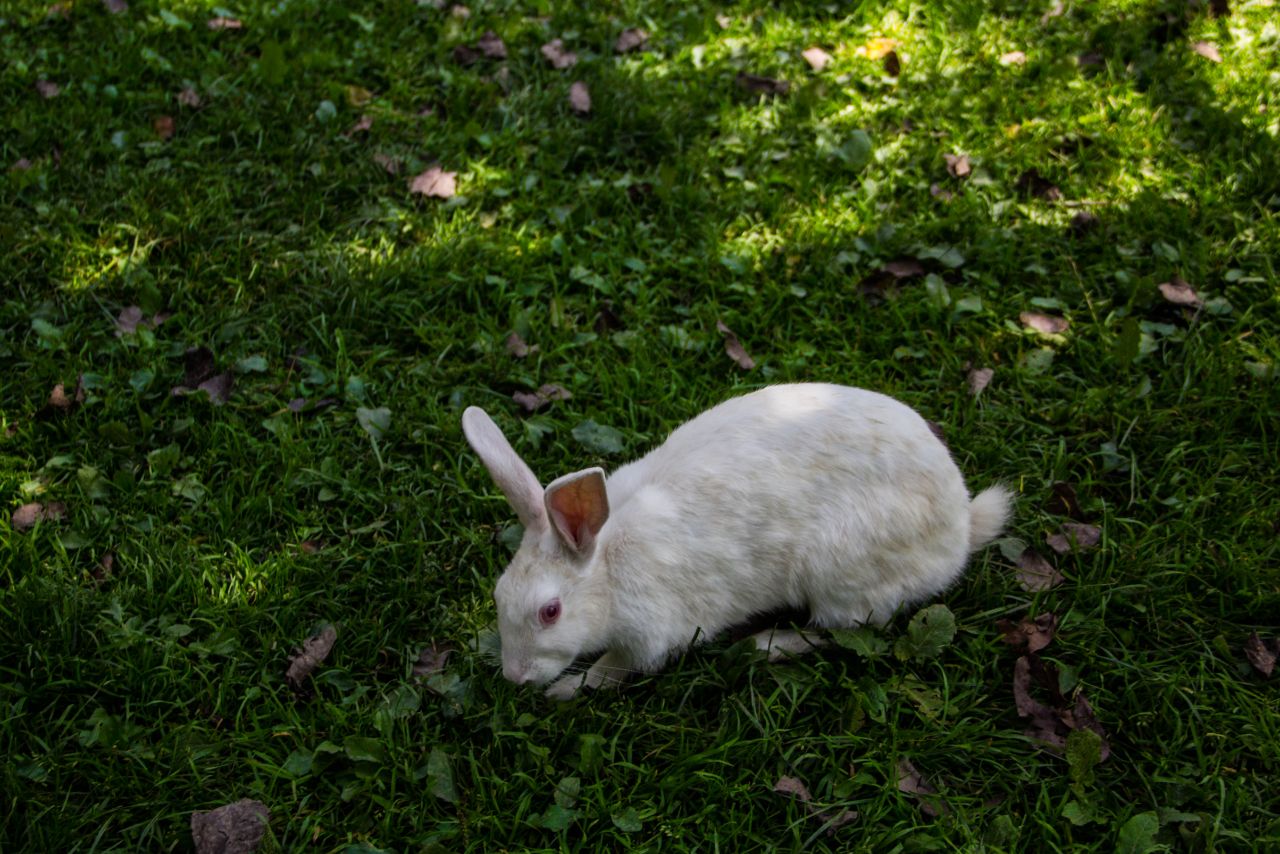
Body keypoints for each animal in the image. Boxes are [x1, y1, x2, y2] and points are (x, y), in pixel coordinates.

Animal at [460, 381, 1008, 701]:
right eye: (498, 594)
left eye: (550, 612)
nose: (514, 677)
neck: (609, 564)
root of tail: (960, 531)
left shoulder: (651, 637)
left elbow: (612, 670)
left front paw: (566, 689)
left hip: (840, 575)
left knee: (839, 630)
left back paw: (764, 645)